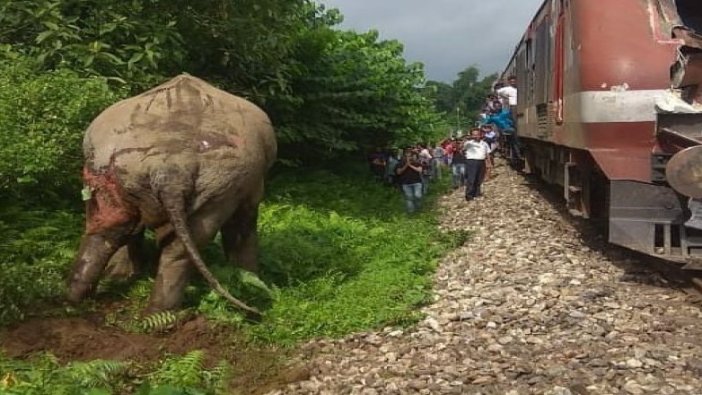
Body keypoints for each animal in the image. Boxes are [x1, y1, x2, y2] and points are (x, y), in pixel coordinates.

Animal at [67, 73, 278, 316]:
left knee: (107, 227)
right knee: (184, 241)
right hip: (222, 182)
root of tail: (172, 165)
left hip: (112, 169)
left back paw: (75, 303)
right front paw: (250, 278)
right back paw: (163, 315)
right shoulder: (249, 185)